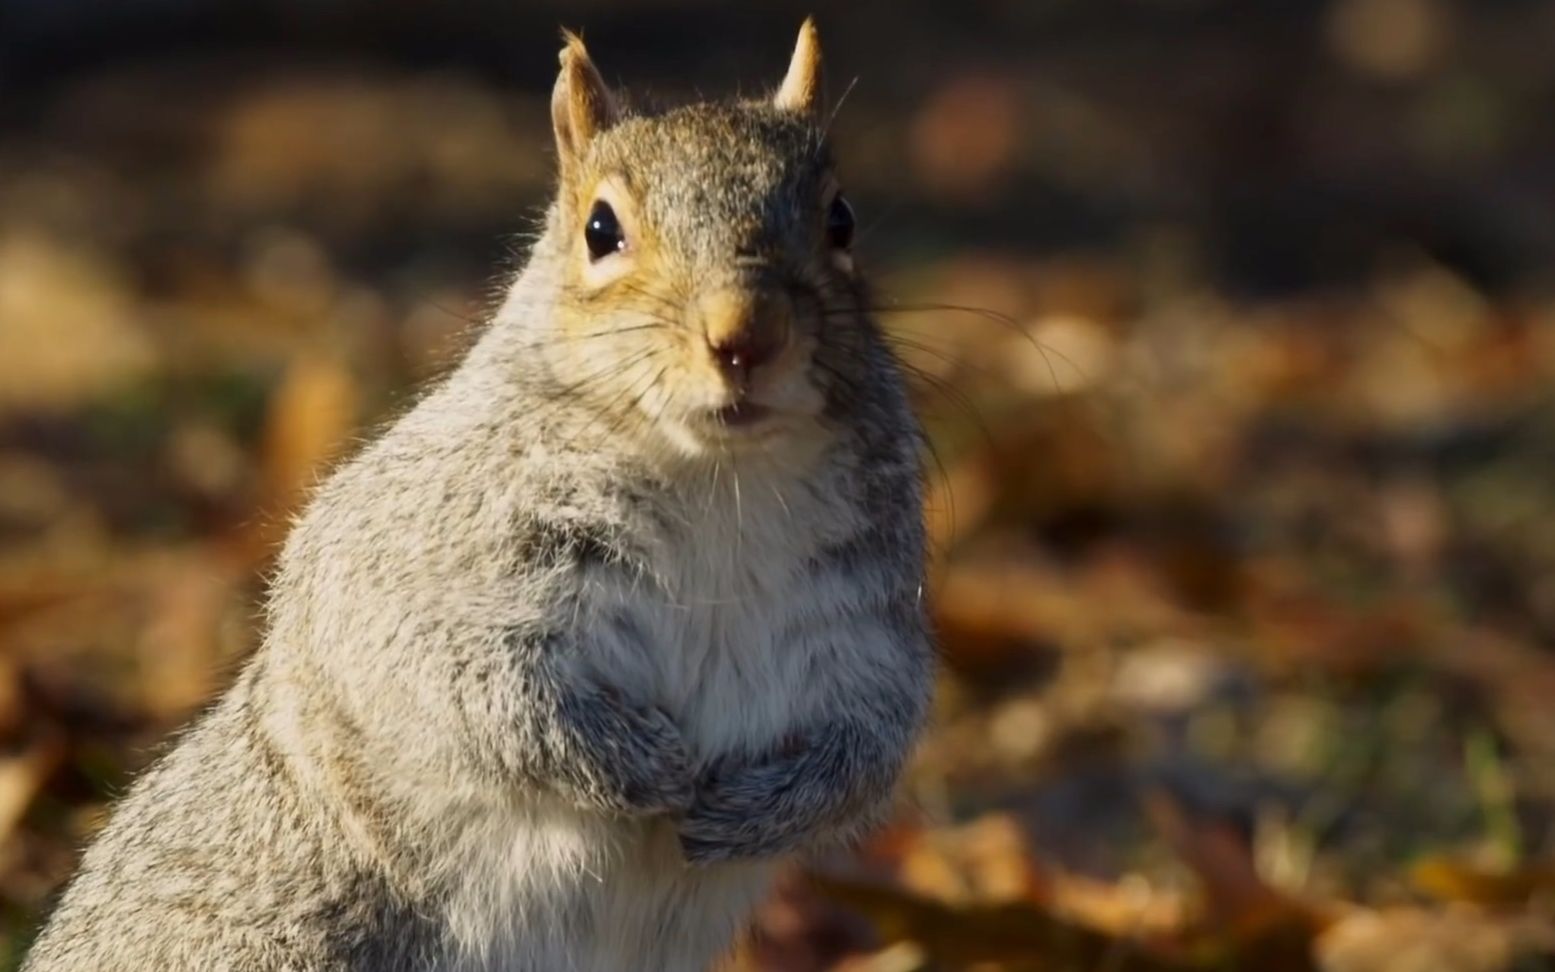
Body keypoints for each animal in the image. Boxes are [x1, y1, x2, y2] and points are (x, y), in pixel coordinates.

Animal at [24, 20, 932, 970]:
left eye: (841, 218)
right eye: (600, 229)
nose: (746, 335)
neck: (719, 484)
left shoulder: (863, 632)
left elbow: (871, 744)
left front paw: (763, 807)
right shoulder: (410, 560)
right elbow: (456, 679)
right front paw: (640, 763)